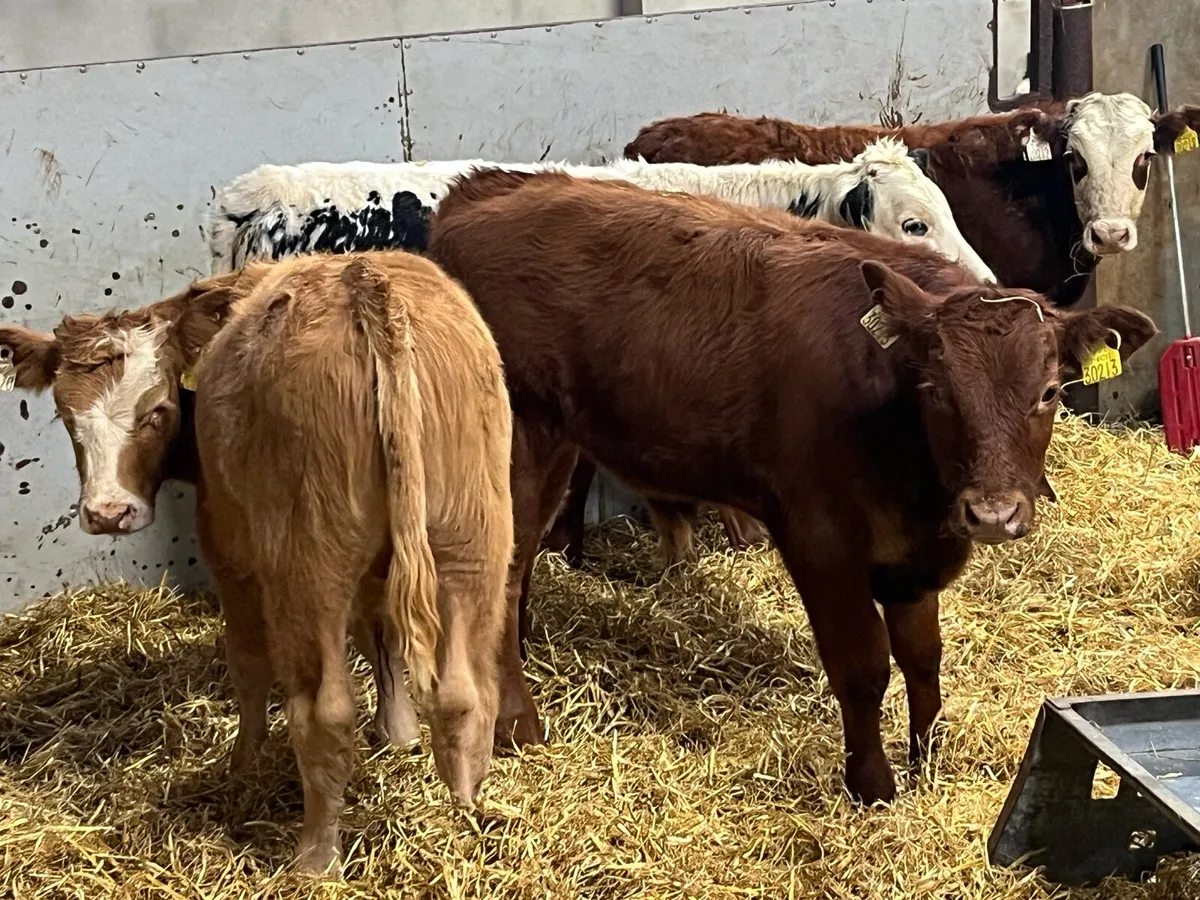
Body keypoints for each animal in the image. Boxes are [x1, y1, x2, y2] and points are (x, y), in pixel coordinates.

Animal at [426, 168, 1157, 806]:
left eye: (1050, 391)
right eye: (935, 389)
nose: (992, 514)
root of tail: (482, 190)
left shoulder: (911, 556)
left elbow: (923, 658)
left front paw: (926, 762)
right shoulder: (821, 539)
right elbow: (863, 665)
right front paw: (873, 786)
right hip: (520, 443)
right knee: (502, 570)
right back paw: (517, 723)